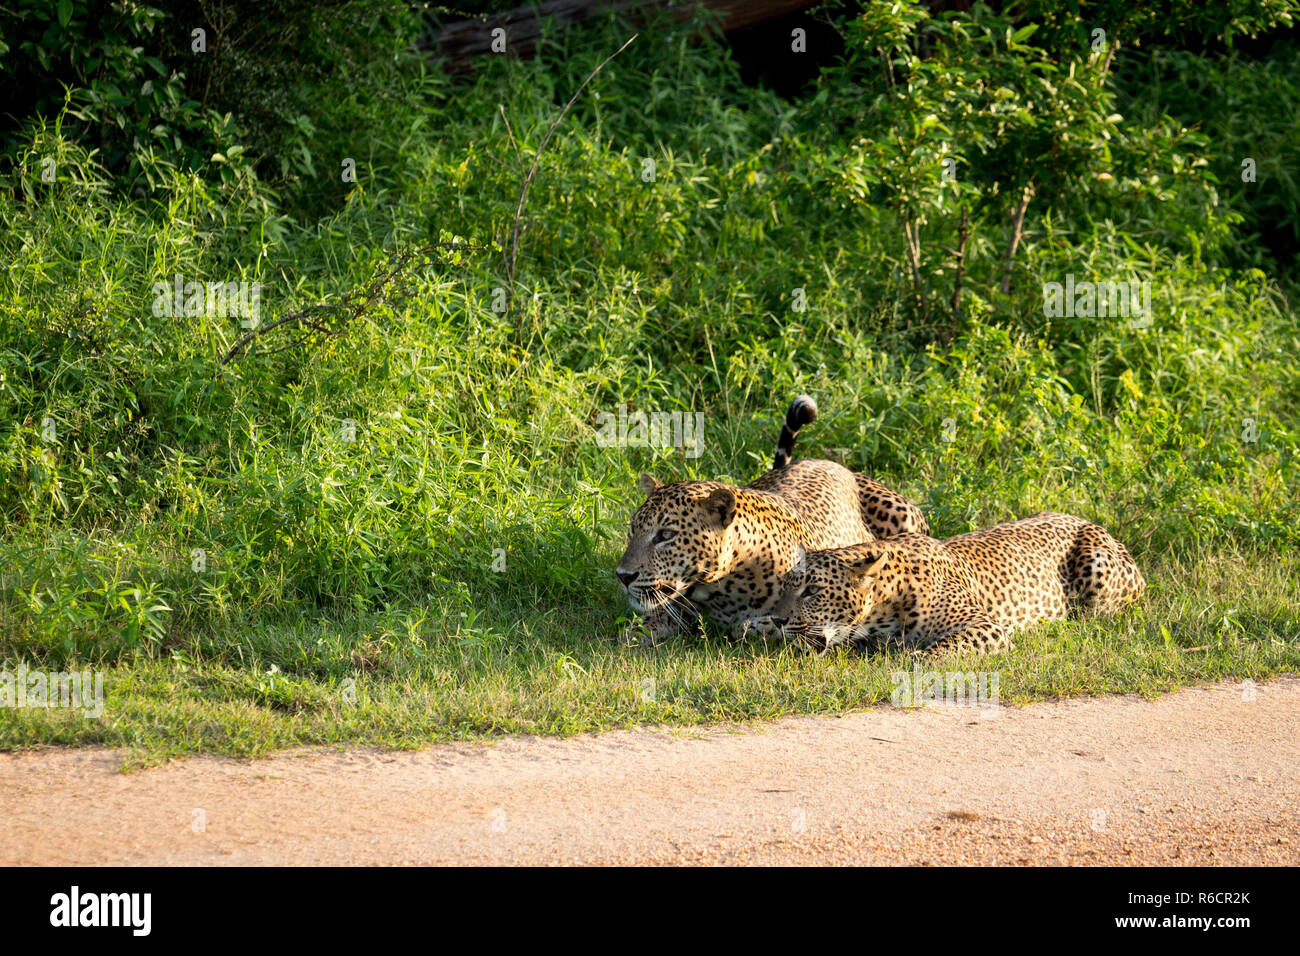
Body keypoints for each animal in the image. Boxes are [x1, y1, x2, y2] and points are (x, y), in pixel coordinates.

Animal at [613, 395, 930, 642]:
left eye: (666, 535)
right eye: (632, 531)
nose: (623, 576)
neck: (723, 587)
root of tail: (825, 461)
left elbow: (761, 624)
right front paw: (633, 635)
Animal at [764, 512, 1144, 655]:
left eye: (812, 591)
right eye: (788, 586)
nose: (778, 621)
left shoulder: (987, 626)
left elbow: (946, 647)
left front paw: (915, 657)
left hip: (1097, 571)